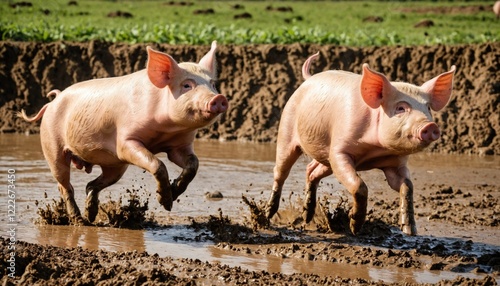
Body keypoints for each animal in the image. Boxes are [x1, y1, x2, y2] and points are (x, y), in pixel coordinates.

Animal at [19, 41, 229, 225]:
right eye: (187, 85)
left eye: (212, 84)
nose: (218, 97)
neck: (165, 131)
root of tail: (52, 101)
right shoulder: (125, 141)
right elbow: (157, 163)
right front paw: (166, 202)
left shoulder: (179, 145)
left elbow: (194, 164)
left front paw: (173, 194)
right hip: (51, 145)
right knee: (64, 185)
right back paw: (79, 221)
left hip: (115, 166)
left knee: (91, 185)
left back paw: (91, 216)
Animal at [268, 52, 456, 236]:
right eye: (401, 108)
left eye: (428, 108)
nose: (430, 125)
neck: (374, 151)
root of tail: (309, 78)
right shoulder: (339, 151)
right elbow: (359, 185)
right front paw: (355, 228)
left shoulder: (395, 162)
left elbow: (407, 186)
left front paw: (410, 231)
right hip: (287, 130)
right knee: (280, 171)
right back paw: (269, 213)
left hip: (324, 157)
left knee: (311, 170)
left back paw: (307, 217)